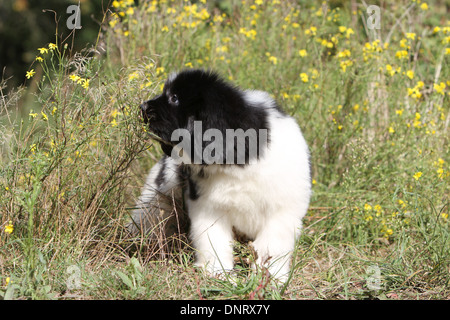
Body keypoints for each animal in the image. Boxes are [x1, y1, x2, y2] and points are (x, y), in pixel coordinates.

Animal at [130, 69, 312, 282]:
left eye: (174, 98)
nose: (142, 106)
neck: (239, 161)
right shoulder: (209, 207)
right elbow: (213, 241)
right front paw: (218, 274)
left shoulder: (281, 213)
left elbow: (272, 248)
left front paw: (270, 279)